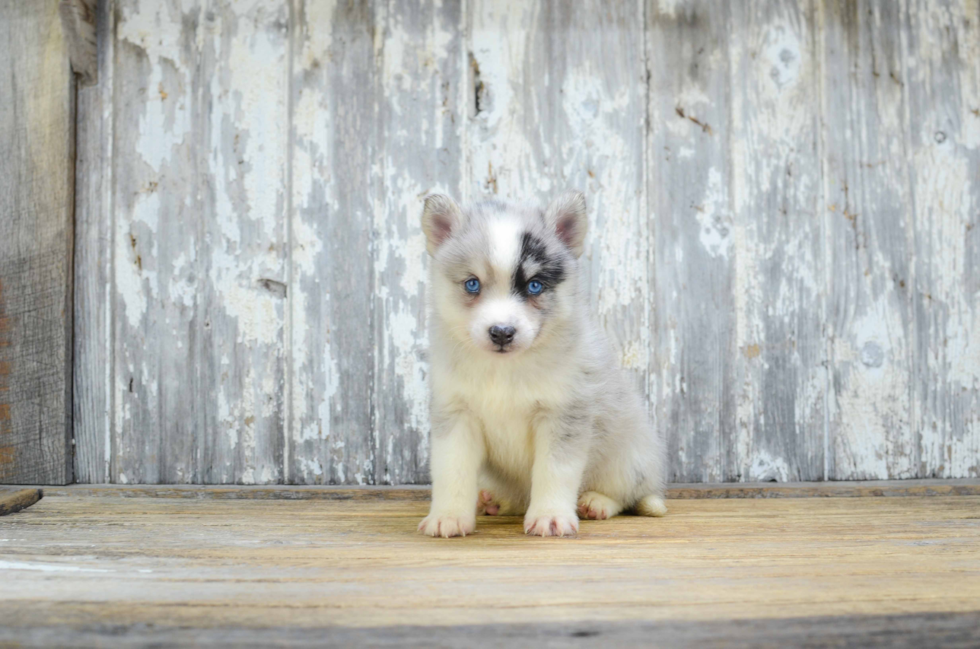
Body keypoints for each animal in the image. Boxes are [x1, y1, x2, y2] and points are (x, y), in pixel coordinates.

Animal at [416, 191, 668, 536]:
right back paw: (493, 501)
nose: (502, 332)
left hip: (629, 461)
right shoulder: (456, 415)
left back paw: (596, 503)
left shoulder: (562, 417)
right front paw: (449, 516)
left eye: (534, 285)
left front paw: (550, 516)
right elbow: (451, 470)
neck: (504, 370)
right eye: (472, 284)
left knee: (625, 495)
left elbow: (555, 471)